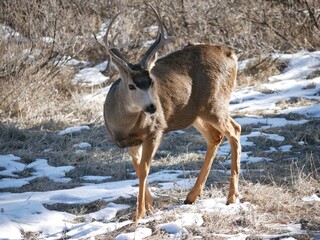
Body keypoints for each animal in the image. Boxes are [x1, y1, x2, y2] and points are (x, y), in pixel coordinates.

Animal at [104, 4, 241, 220]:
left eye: (151, 81)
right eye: (131, 85)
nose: (152, 108)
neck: (123, 126)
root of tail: (231, 55)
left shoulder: (154, 132)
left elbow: (144, 169)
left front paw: (139, 214)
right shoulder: (132, 141)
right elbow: (137, 167)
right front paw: (149, 205)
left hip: (215, 104)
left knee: (235, 130)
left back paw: (231, 197)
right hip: (195, 114)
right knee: (215, 136)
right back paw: (192, 196)